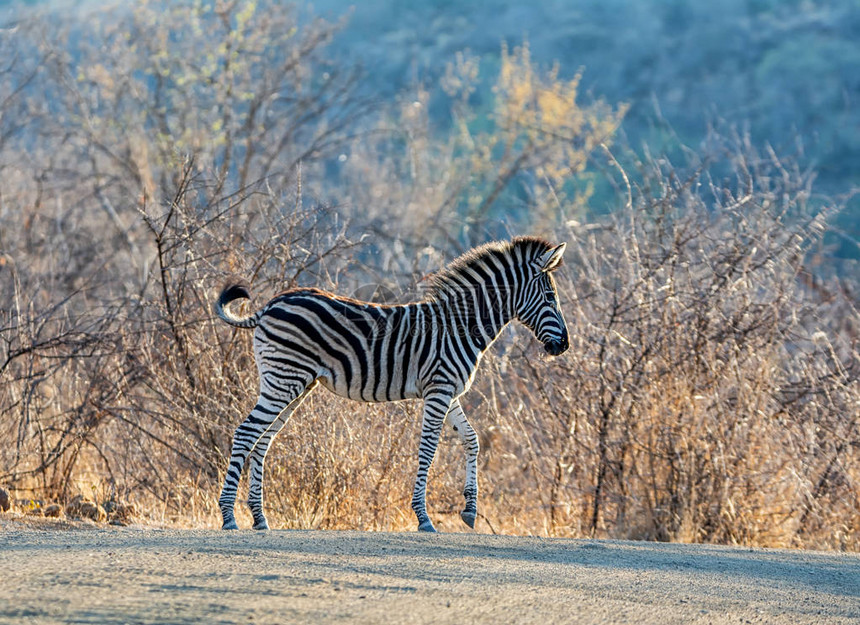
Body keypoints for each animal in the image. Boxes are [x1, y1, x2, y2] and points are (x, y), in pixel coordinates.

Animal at [215, 236, 568, 528]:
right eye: (550, 297)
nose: (563, 346)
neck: (460, 327)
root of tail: (270, 305)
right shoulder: (438, 390)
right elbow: (428, 449)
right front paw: (423, 517)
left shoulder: (449, 391)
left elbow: (472, 439)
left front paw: (469, 510)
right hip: (283, 380)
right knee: (246, 433)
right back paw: (229, 516)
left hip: (294, 384)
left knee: (263, 440)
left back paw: (259, 518)